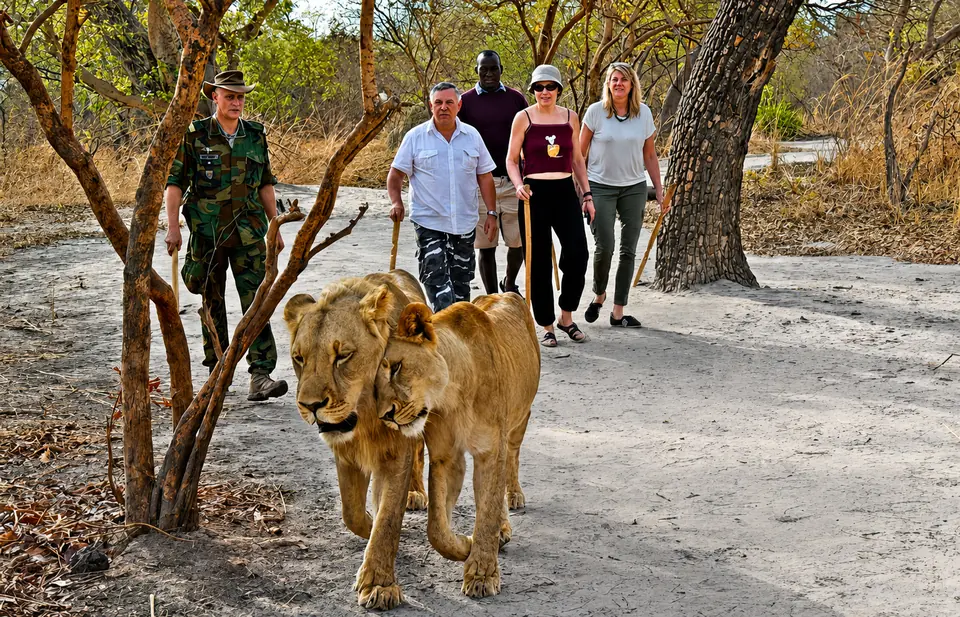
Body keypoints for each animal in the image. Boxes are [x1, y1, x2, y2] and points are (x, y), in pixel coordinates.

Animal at [283, 270, 427, 610]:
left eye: (343, 356)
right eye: (299, 358)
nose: (310, 405)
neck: (366, 415)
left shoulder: (397, 452)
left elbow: (389, 518)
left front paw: (379, 584)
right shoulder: (344, 451)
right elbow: (350, 511)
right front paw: (367, 521)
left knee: (419, 454)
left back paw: (415, 492)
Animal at [373, 293, 541, 598]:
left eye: (397, 367)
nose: (385, 416)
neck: (451, 397)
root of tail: (504, 293)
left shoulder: (491, 451)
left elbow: (487, 510)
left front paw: (482, 574)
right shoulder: (446, 457)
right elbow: (437, 528)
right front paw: (465, 545)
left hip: (520, 419)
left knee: (512, 459)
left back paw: (513, 496)